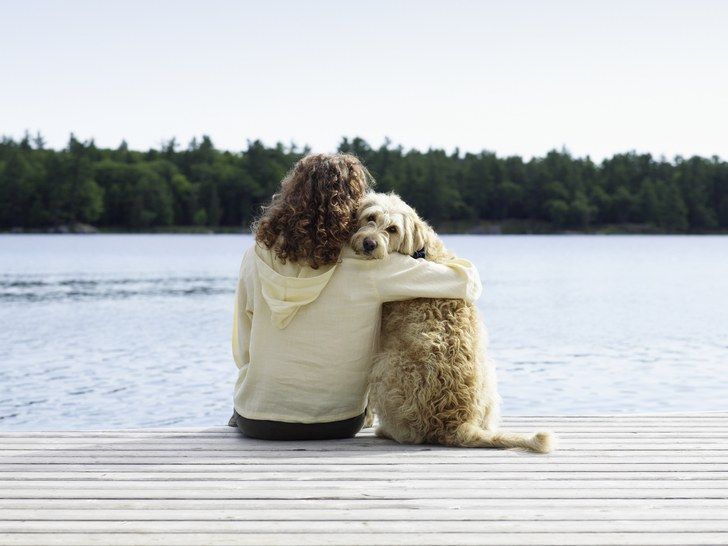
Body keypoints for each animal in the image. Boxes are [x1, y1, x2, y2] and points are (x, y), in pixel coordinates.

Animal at [352, 191, 552, 450]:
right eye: (370, 217)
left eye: (393, 229)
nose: (369, 243)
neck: (420, 250)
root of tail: (455, 422)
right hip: (489, 373)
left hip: (385, 366)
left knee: (410, 433)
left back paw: (386, 431)